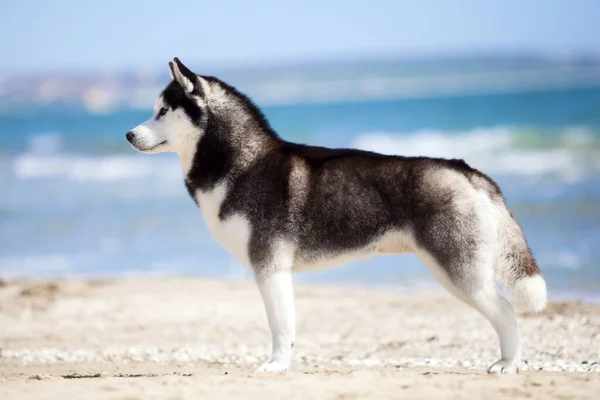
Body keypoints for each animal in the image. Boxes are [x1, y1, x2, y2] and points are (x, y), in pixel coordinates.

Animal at [127, 57, 548, 374]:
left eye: (162, 111)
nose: (129, 135)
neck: (240, 163)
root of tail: (467, 170)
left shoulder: (269, 267)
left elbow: (280, 325)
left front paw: (276, 365)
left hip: (459, 270)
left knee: (505, 310)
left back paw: (509, 363)